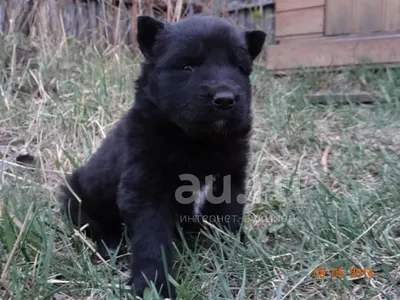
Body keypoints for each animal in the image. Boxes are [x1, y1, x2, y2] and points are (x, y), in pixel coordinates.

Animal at [59, 14, 266, 300]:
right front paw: (153, 286)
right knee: (95, 226)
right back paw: (109, 248)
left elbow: (230, 217)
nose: (225, 99)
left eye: (238, 67)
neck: (198, 141)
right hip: (75, 196)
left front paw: (235, 251)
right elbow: (152, 241)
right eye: (188, 66)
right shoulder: (146, 190)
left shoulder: (230, 180)